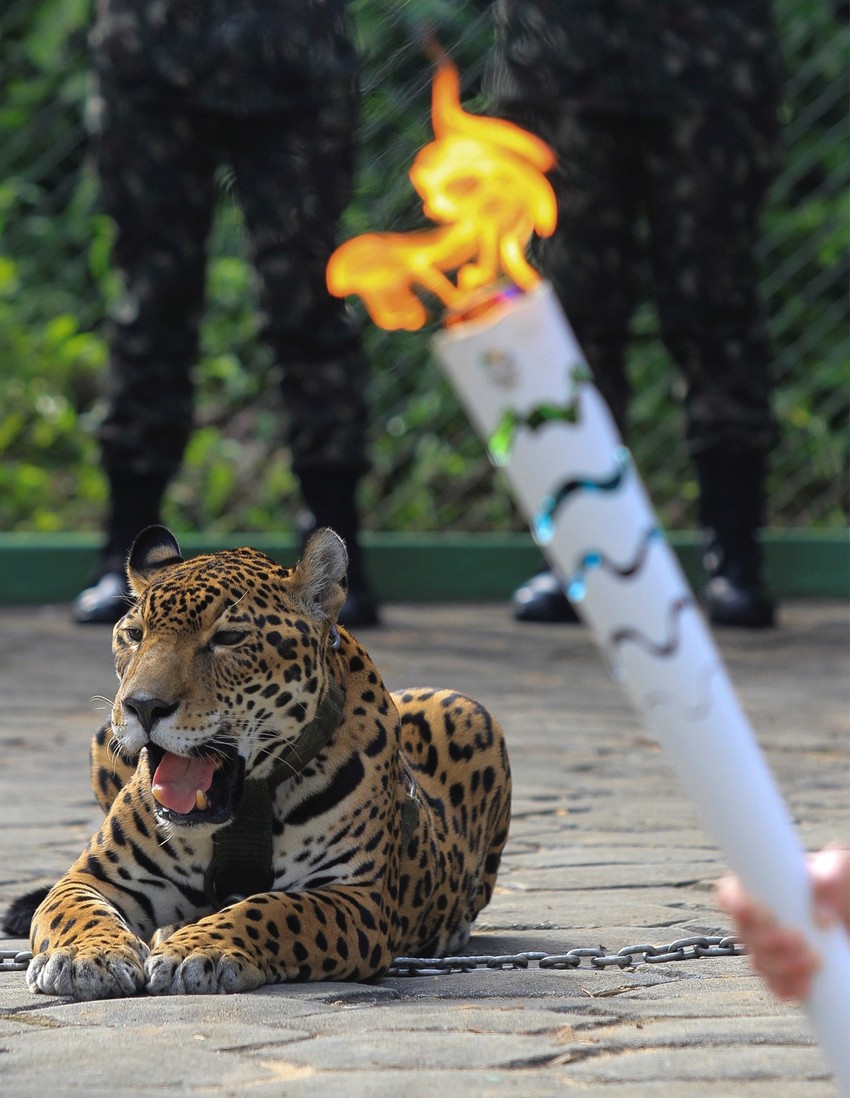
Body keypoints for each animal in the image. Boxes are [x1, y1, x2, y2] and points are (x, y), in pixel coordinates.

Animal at [25, 525, 511, 999]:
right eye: (134, 634)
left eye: (228, 638)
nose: (142, 706)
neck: (247, 804)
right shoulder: (95, 877)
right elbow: (77, 911)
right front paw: (87, 956)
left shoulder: (358, 897)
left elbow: (270, 908)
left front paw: (196, 949)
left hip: (466, 709)